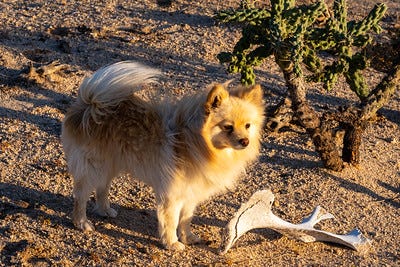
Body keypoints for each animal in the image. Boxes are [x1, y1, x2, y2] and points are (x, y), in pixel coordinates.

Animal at [61, 61, 264, 251]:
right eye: (228, 127)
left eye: (247, 125)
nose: (245, 141)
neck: (194, 142)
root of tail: (90, 104)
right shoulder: (172, 194)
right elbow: (171, 221)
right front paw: (172, 243)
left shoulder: (191, 193)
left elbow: (186, 219)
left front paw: (187, 237)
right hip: (93, 166)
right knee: (81, 196)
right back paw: (81, 222)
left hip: (110, 163)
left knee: (102, 187)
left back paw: (104, 210)